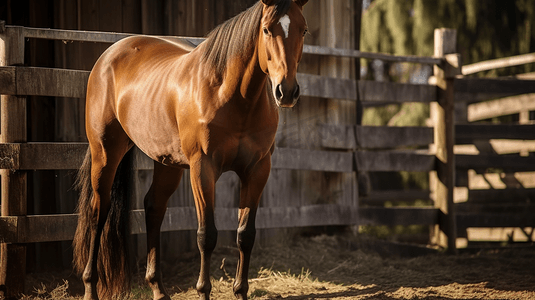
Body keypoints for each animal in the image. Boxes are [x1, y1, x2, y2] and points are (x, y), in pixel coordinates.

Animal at [74, 0, 310, 300]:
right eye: (267, 29)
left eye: (304, 30)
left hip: (166, 162)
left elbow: (246, 235)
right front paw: (203, 290)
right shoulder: (202, 168)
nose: (286, 92)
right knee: (97, 213)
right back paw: (90, 287)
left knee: (153, 207)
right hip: (105, 154)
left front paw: (240, 291)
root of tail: (108, 56)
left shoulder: (257, 170)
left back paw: (158, 289)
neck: (230, 94)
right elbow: (206, 235)